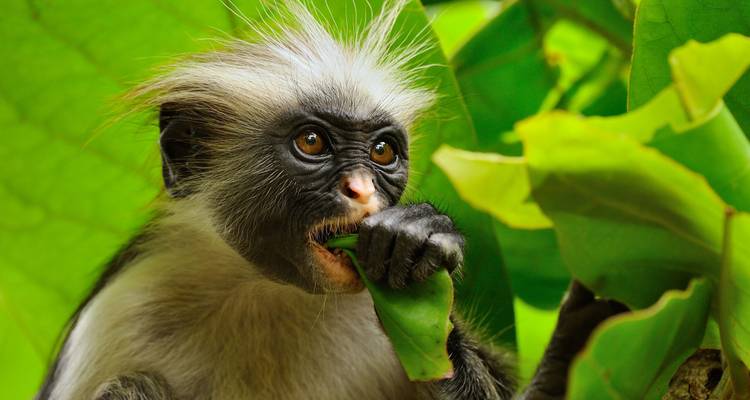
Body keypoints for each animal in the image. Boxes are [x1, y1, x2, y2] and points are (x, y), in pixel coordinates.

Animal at [35, 1, 624, 399]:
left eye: (382, 151)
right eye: (313, 142)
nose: (361, 189)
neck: (266, 291)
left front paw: (419, 240)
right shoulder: (116, 317)